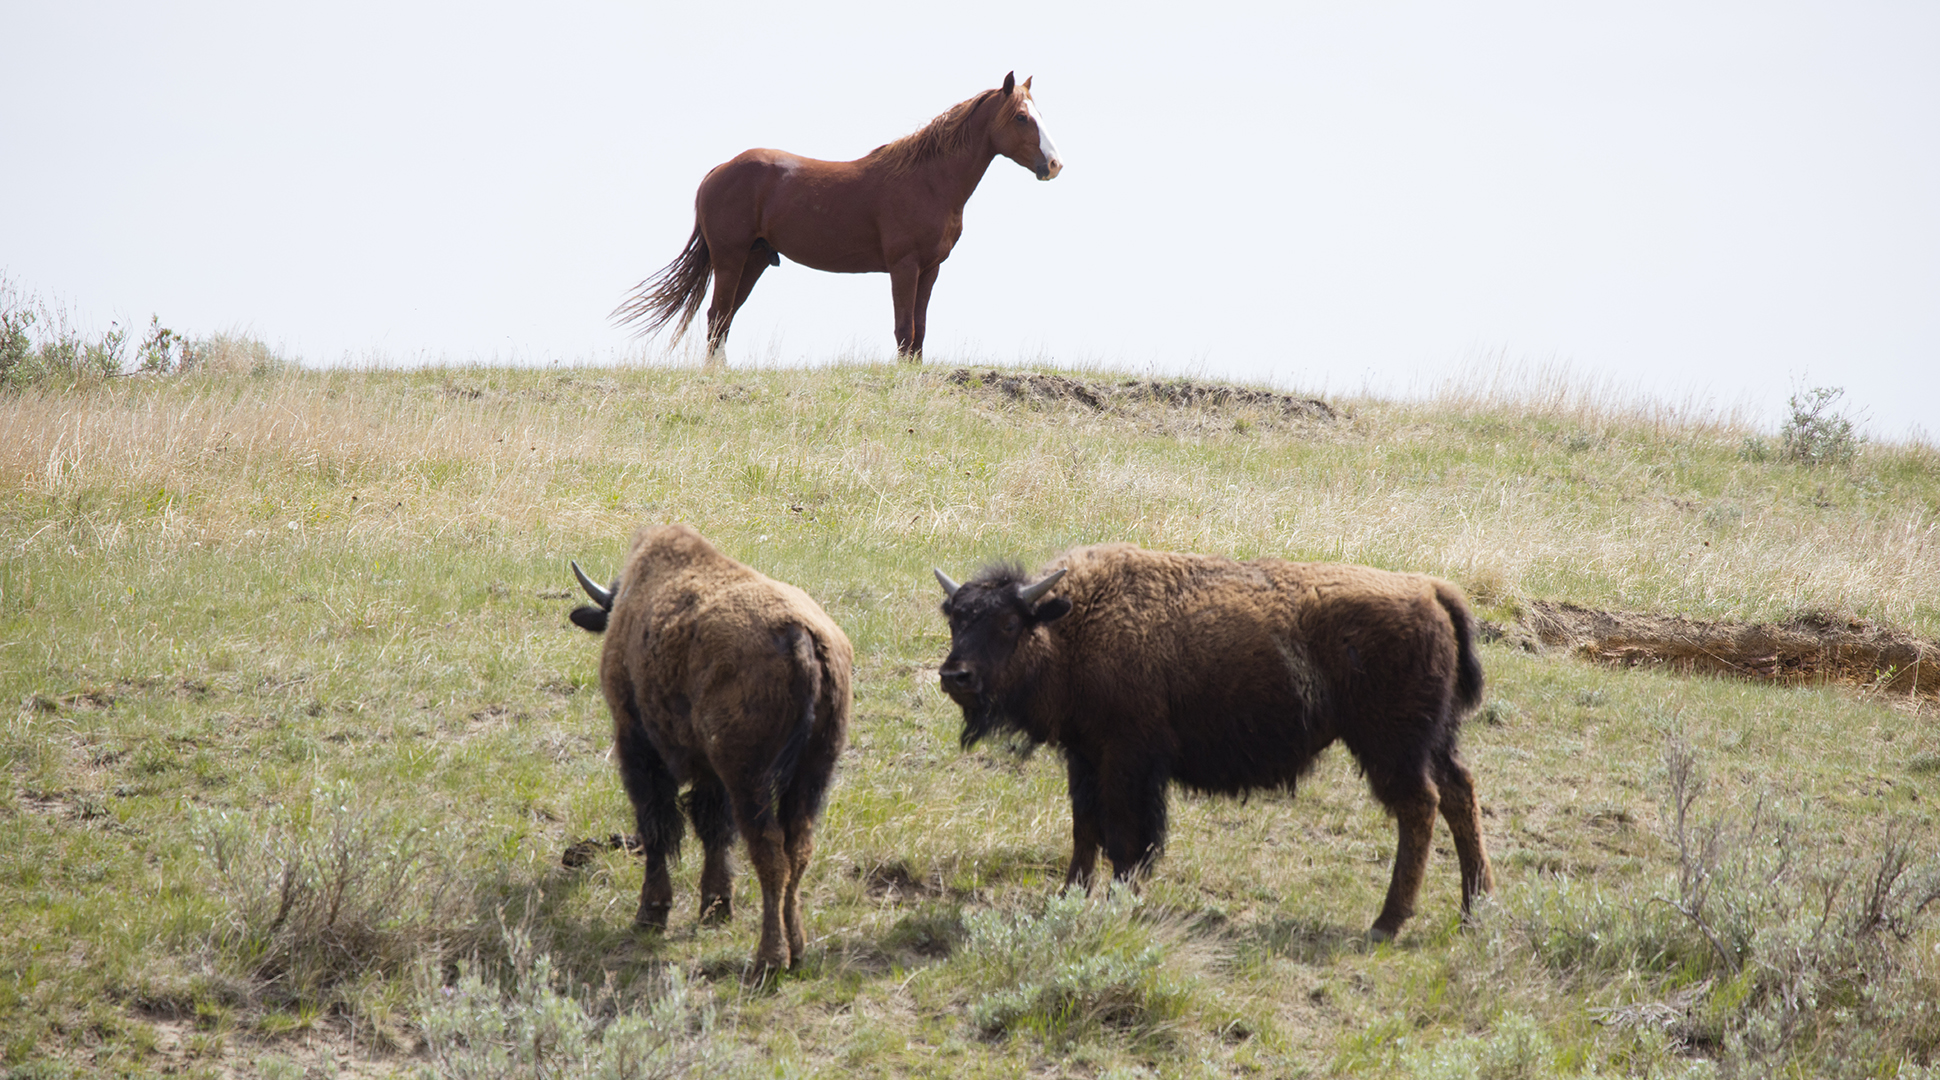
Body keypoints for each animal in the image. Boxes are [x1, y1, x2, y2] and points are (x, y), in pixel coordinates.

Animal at [566, 523, 857, 969]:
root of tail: (799, 637)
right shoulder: (711, 773)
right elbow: (713, 830)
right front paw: (716, 908)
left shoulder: (639, 748)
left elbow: (659, 828)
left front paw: (650, 915)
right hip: (813, 770)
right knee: (797, 848)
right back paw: (797, 951)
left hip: (748, 776)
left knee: (768, 849)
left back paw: (768, 959)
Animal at [616, 74, 1063, 366]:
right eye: (1021, 117)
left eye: (1038, 113)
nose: (1054, 164)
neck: (928, 180)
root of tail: (719, 170)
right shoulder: (903, 267)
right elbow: (904, 329)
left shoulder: (930, 269)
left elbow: (919, 331)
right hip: (730, 259)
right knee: (716, 316)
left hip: (754, 259)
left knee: (724, 319)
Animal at [938, 542, 1497, 938]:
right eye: (955, 618)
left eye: (1008, 623)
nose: (954, 676)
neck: (1072, 621)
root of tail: (1429, 589)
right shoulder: (1085, 757)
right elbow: (1084, 830)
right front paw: (1067, 898)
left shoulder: (1126, 759)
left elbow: (1123, 837)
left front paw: (1119, 901)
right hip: (1434, 741)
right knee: (1459, 794)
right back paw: (1475, 910)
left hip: (1391, 746)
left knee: (1420, 807)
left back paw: (1388, 923)